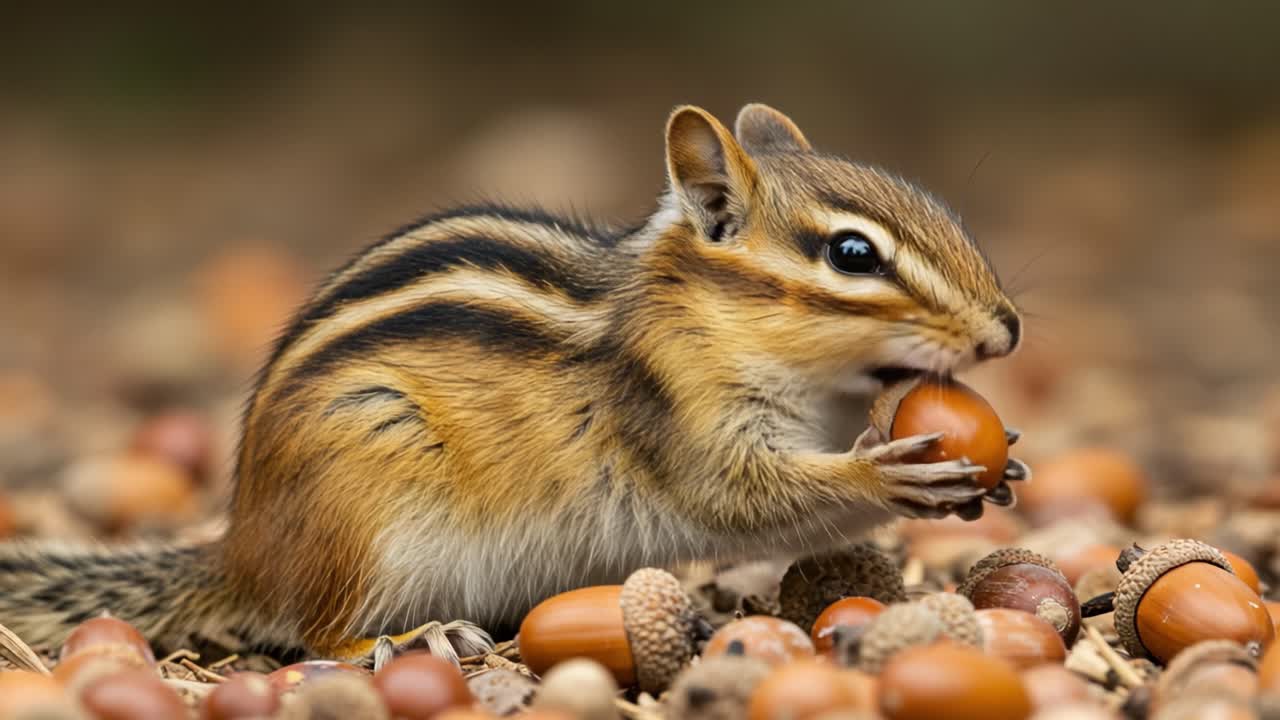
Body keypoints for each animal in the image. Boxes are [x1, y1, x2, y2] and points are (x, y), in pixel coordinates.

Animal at [0, 104, 1027, 662]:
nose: (1007, 330)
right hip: (369, 504)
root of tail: (242, 550)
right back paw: (408, 643)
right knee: (313, 629)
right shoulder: (677, 419)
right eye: (853, 254)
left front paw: (1002, 465)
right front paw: (885, 473)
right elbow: (748, 498)